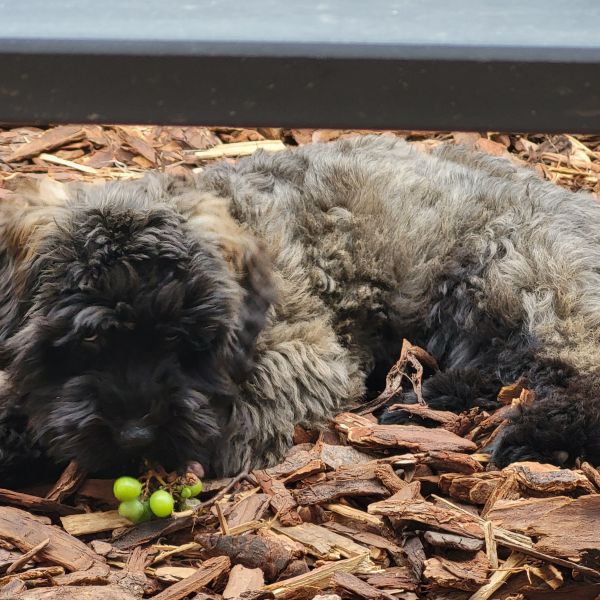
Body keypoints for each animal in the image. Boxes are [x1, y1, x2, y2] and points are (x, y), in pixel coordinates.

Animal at [1, 135, 600, 482]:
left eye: (180, 341)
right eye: (89, 341)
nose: (135, 437)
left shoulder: (308, 350)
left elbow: (262, 391)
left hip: (510, 270)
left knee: (569, 368)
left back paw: (532, 433)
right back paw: (425, 399)